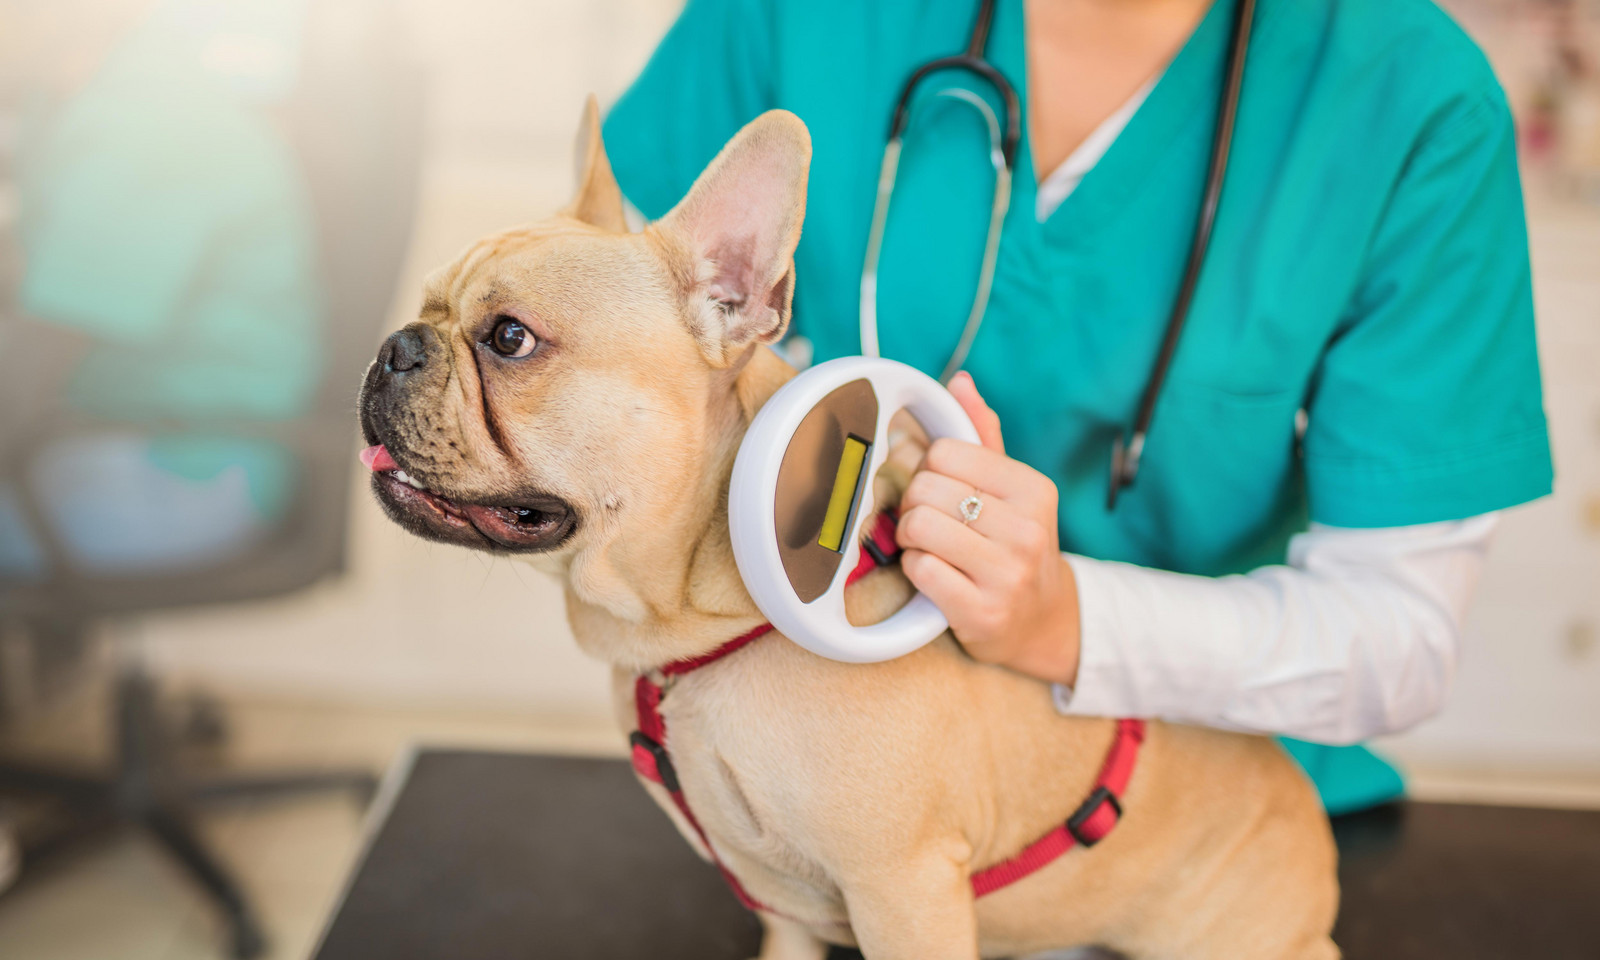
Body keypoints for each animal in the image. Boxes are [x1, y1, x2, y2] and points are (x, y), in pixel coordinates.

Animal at [360, 101, 1337, 953]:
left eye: (510, 338)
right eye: (428, 304)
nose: (394, 346)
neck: (694, 627)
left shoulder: (905, 892)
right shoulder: (787, 912)